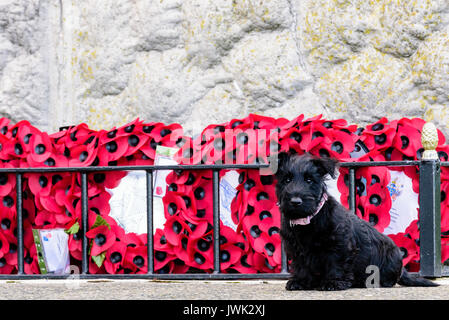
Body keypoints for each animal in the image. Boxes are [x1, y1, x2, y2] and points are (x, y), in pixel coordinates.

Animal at [272, 152, 438, 290]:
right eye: (287, 179)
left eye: (309, 180)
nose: (295, 201)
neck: (309, 220)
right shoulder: (296, 249)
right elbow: (301, 266)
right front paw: (300, 281)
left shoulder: (339, 244)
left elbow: (336, 263)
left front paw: (333, 282)